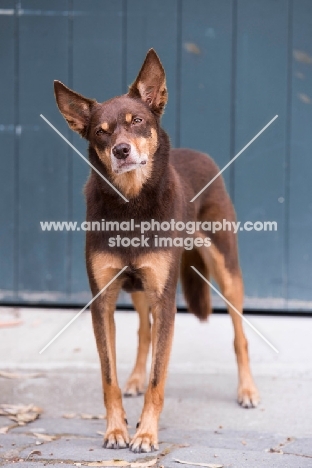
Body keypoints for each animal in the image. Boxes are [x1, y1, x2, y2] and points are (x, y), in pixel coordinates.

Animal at [54, 48, 260, 454]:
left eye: (137, 122)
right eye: (100, 131)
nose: (121, 150)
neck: (131, 204)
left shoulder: (165, 299)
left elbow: (158, 379)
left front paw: (146, 434)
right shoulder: (103, 299)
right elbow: (109, 376)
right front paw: (116, 428)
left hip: (226, 272)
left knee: (239, 336)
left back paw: (246, 390)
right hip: (139, 288)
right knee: (143, 332)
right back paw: (134, 377)